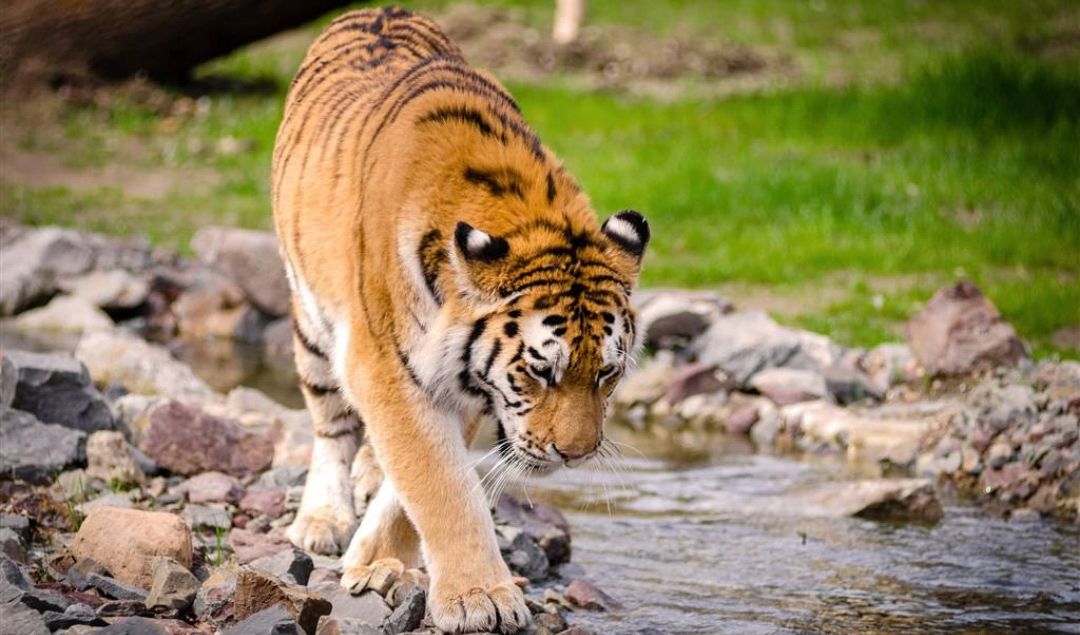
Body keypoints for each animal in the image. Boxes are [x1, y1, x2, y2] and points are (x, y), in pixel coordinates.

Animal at [271, 7, 649, 633]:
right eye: (540, 372)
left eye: (607, 373)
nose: (575, 455)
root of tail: (377, 10)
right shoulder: (383, 362)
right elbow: (441, 481)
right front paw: (480, 598)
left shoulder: (465, 381)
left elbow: (418, 480)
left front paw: (378, 561)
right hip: (311, 321)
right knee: (329, 426)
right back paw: (322, 518)